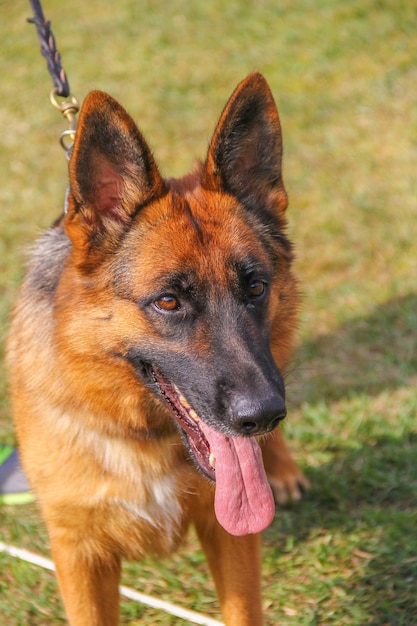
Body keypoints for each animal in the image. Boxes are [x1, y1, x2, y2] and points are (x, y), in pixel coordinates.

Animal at [6, 74, 308, 624]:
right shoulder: (79, 554)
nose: (262, 415)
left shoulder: (231, 536)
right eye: (168, 301)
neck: (141, 434)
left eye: (256, 287)